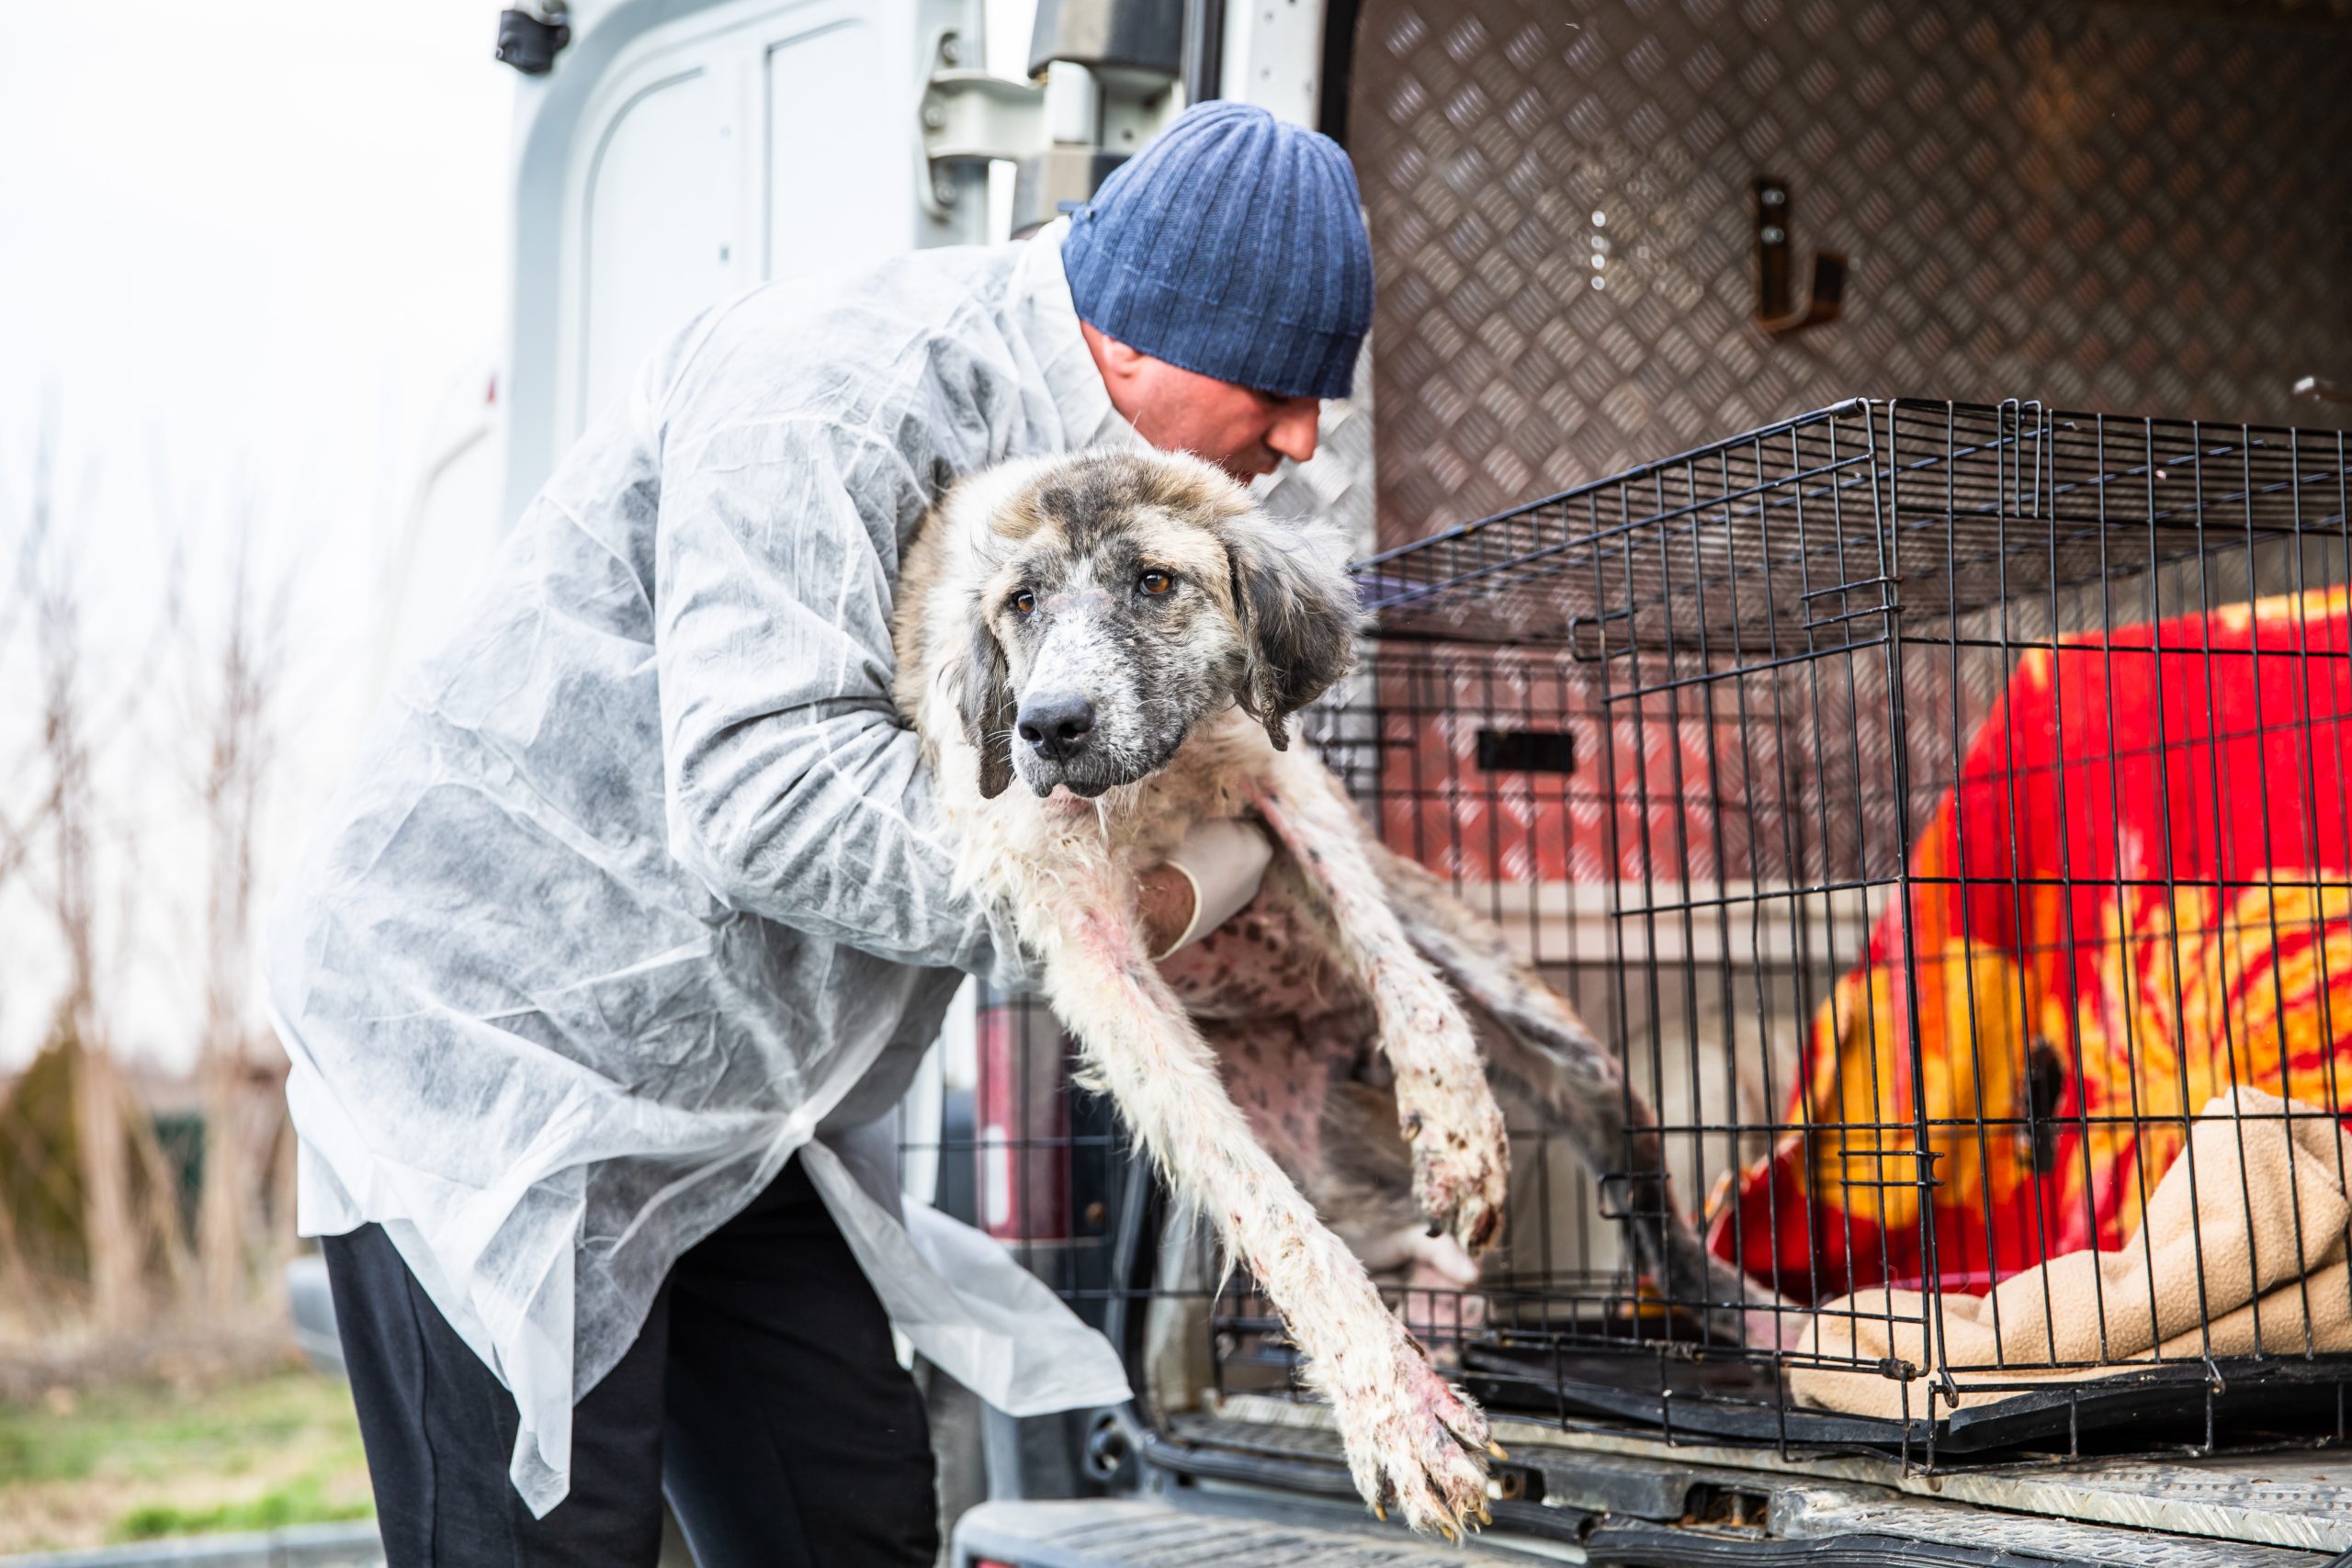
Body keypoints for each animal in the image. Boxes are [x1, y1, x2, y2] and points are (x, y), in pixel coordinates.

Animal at [893, 446, 1769, 1541]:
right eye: (1020, 601)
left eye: (1154, 582)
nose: (1047, 725)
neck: (1162, 780)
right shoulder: (1081, 930)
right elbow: (1268, 1213)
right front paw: (1401, 1412)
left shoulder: (1285, 785)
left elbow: (1385, 949)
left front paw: (1456, 1121)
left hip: (1555, 1037)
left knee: (1636, 1176)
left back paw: (1757, 1314)